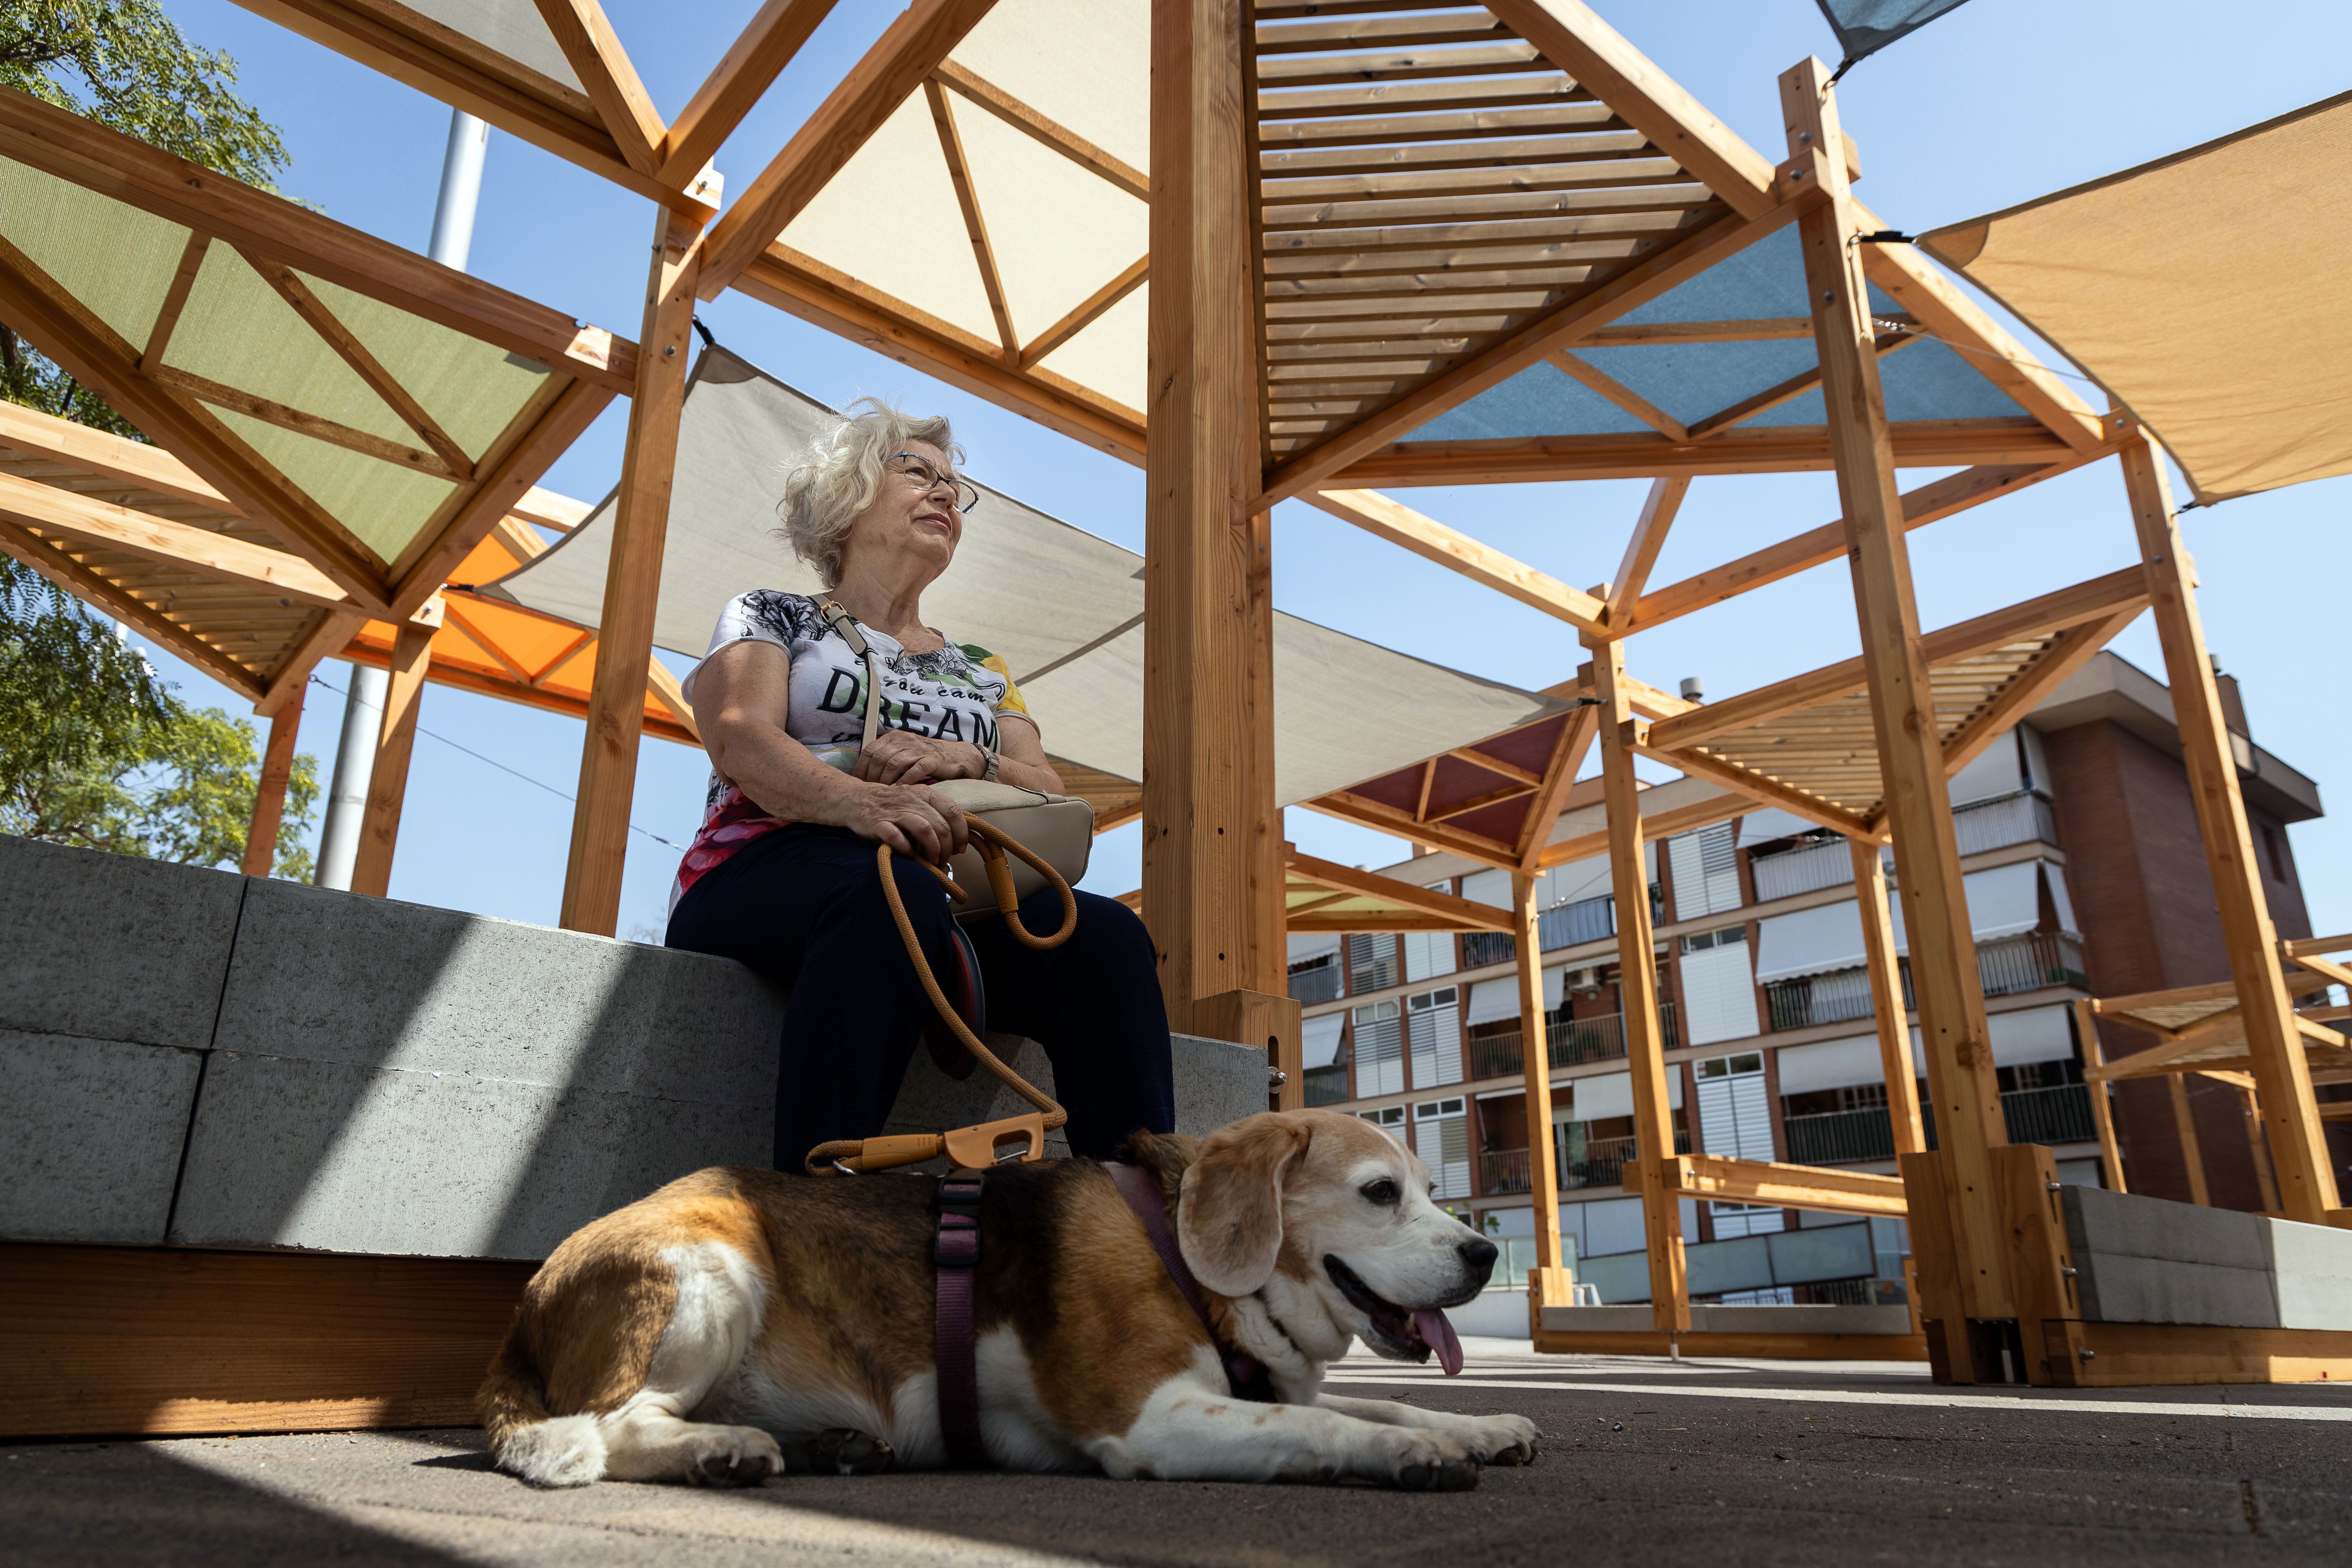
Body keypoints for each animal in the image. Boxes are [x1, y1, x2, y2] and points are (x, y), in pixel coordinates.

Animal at [477, 1110, 1543, 1495]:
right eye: (1380, 1192)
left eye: (1431, 1187)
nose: (1486, 1252)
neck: (1179, 1251)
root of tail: (523, 1307)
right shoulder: (1154, 1422)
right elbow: (1329, 1428)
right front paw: (1415, 1454)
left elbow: (1383, 1400)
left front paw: (1485, 1425)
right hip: (712, 1267)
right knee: (615, 1424)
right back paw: (718, 1450)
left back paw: (833, 1448)